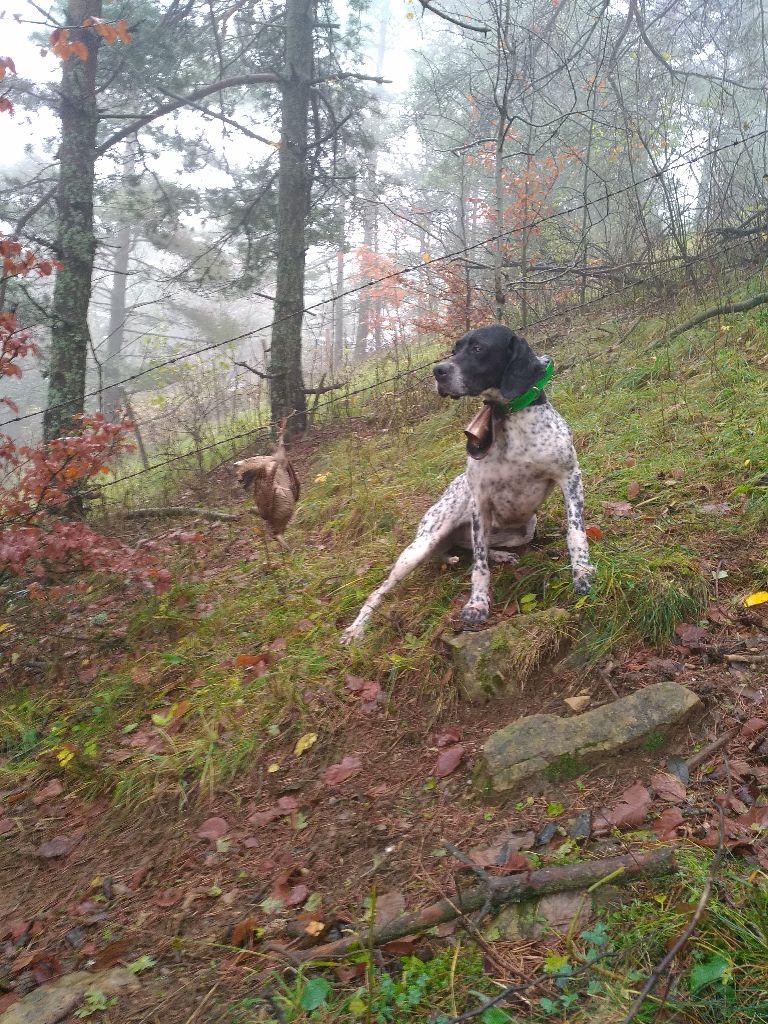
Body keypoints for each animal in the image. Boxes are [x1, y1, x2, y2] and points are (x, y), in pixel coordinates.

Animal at [339, 321, 598, 638]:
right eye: (454, 349)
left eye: (477, 348)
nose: (438, 371)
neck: (507, 419)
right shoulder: (481, 502)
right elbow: (479, 567)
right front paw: (477, 605)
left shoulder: (569, 476)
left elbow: (576, 533)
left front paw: (582, 572)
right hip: (422, 544)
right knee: (381, 590)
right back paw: (356, 629)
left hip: (524, 528)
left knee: (476, 547)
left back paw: (501, 555)